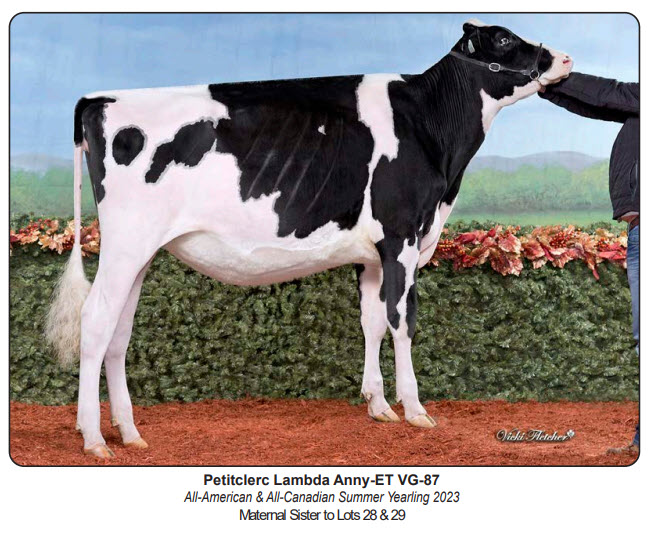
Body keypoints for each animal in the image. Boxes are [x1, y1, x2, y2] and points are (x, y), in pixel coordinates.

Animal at [46, 20, 573, 458]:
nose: (564, 58)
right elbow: (402, 321)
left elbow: (371, 322)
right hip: (126, 242)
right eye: (503, 38)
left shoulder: (372, 256)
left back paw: (129, 433)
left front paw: (378, 405)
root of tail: (99, 100)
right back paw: (94, 438)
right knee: (96, 321)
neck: (430, 128)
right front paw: (415, 409)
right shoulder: (401, 238)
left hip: (140, 253)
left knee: (119, 332)